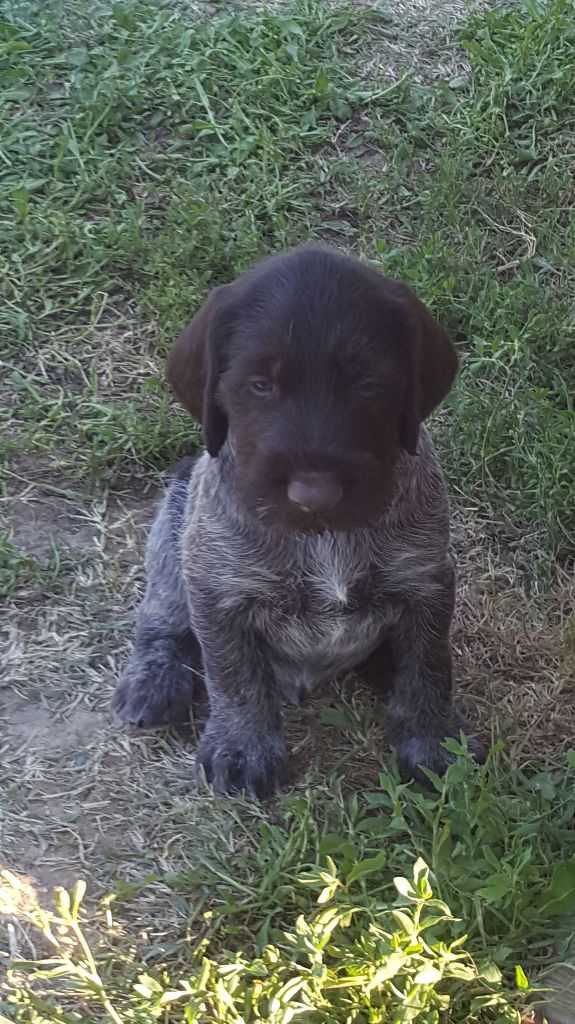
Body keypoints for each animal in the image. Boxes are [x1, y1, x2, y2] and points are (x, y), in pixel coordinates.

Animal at [111, 243, 478, 794]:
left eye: (369, 384)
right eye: (260, 384)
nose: (314, 494)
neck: (323, 535)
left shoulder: (425, 581)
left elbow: (428, 668)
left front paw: (433, 741)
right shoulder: (217, 590)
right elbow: (233, 677)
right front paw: (241, 747)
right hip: (173, 523)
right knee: (162, 619)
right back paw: (153, 680)